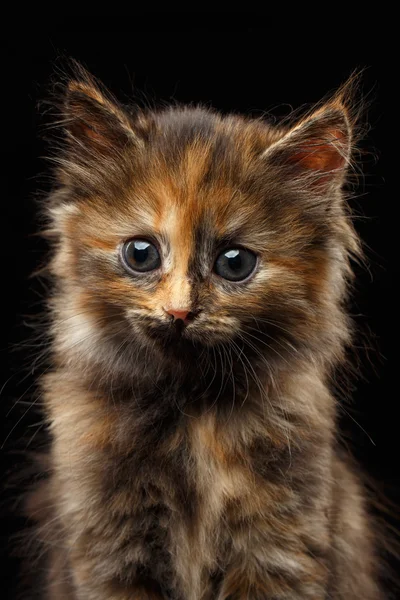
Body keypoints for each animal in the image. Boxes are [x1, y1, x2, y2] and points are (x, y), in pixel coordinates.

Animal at [24, 68, 382, 596]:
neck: (192, 413)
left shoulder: (282, 541)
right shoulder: (106, 544)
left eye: (234, 263)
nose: (179, 312)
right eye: (141, 254)